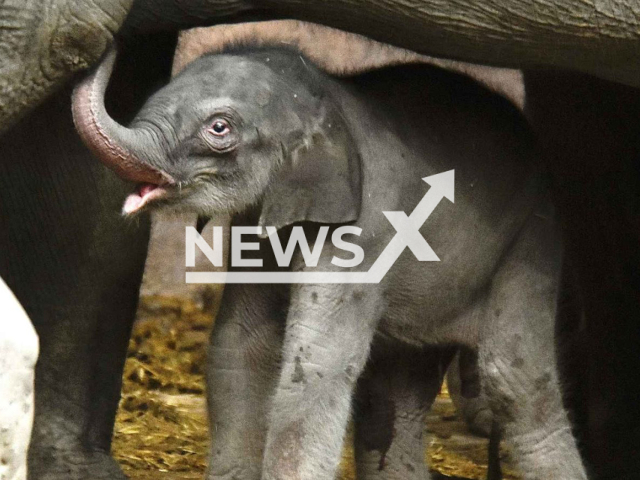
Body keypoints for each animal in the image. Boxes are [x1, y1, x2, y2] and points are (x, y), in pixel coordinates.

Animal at [72, 46, 588, 480]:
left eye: (219, 128)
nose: (104, 50)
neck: (326, 98)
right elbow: (241, 345)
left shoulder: (367, 229)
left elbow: (317, 361)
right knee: (393, 396)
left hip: (533, 239)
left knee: (515, 380)